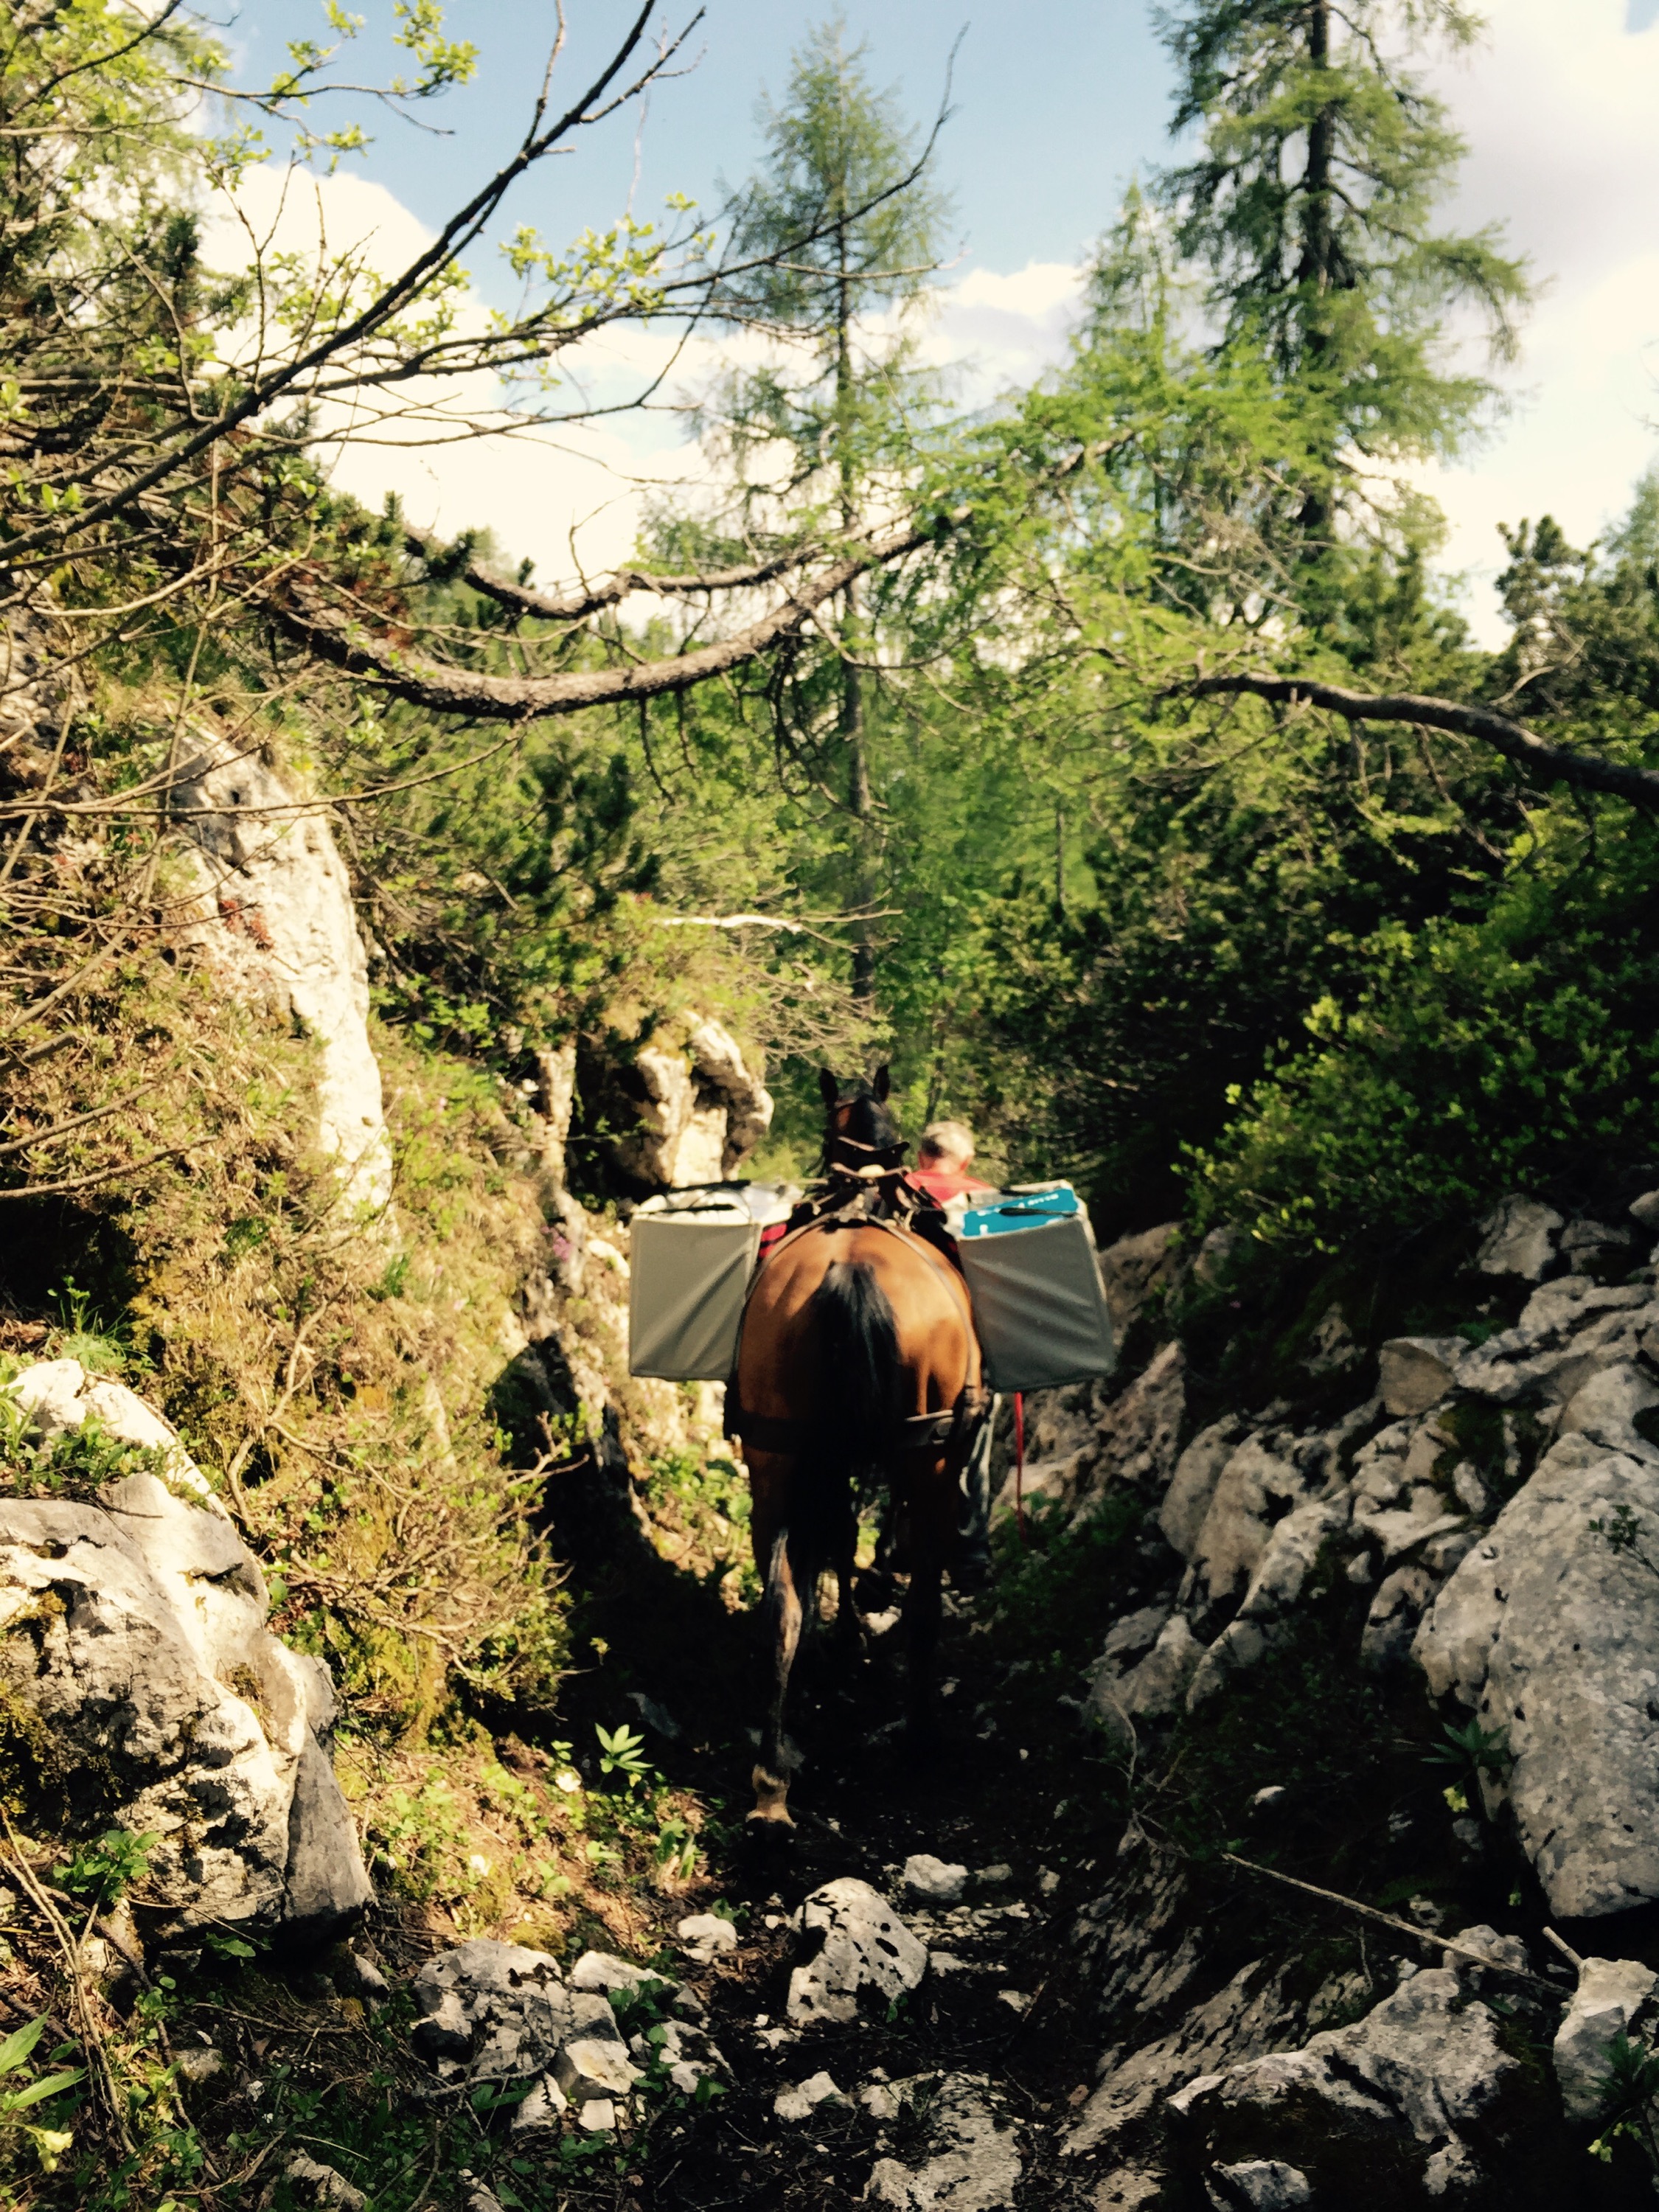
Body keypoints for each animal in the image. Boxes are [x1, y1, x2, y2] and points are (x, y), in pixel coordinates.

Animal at [730, 1075, 987, 1832]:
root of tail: (850, 1273)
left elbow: (833, 1541)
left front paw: (840, 1638)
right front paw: (851, 1636)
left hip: (775, 1451)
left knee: (780, 1604)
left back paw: (771, 1788)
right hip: (929, 1456)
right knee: (924, 1602)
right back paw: (919, 1736)